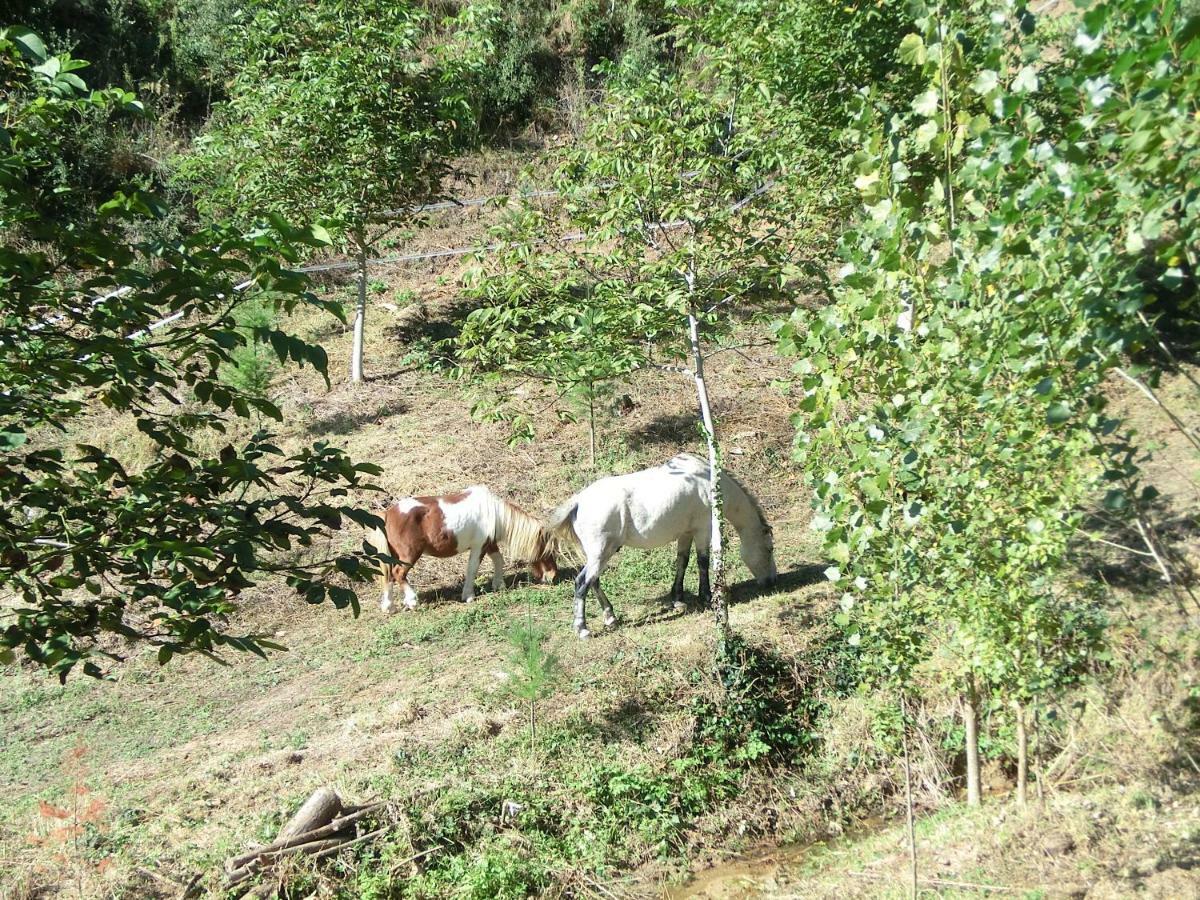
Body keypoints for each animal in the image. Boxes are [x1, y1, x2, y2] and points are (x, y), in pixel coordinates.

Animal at [364, 487, 556, 614]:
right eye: (548, 551)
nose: (552, 577)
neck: (493, 512)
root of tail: (387, 514)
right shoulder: (479, 546)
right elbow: (472, 569)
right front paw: (468, 595)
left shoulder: (489, 544)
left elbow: (498, 560)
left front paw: (498, 585)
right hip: (409, 555)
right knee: (398, 574)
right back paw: (412, 601)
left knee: (388, 577)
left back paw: (389, 607)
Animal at [547, 453, 777, 638]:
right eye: (769, 549)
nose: (771, 581)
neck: (708, 480)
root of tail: (579, 501)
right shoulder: (703, 529)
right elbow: (702, 562)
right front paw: (706, 596)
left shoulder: (686, 534)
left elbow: (682, 562)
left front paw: (677, 599)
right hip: (601, 553)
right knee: (582, 583)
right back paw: (582, 629)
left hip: (601, 555)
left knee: (594, 582)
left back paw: (611, 618)